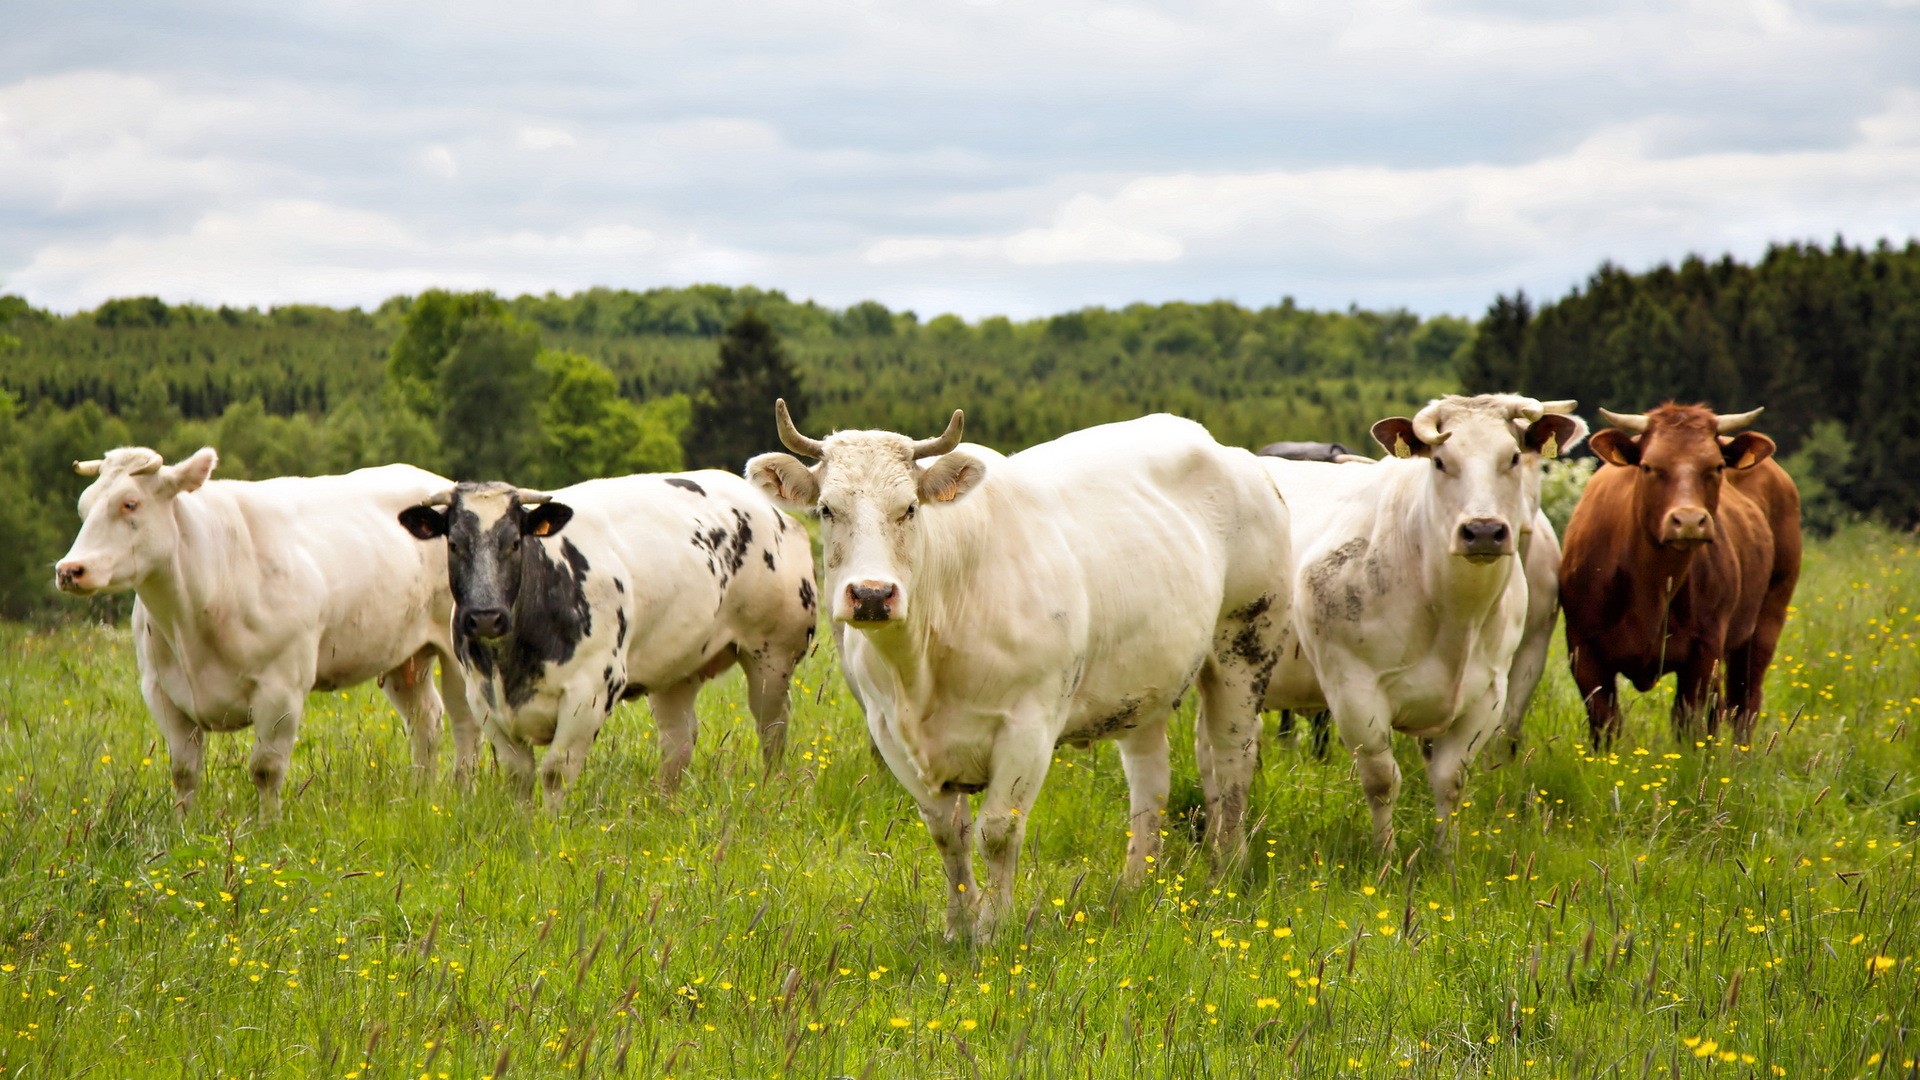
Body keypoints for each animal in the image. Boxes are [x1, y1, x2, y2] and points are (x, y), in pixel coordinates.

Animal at [54, 447, 479, 820]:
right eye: (83, 507)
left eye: (130, 503)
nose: (69, 569)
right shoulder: (161, 690)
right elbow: (183, 772)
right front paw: (181, 829)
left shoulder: (281, 688)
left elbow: (265, 769)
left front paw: (268, 829)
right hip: (402, 655)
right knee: (426, 719)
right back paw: (421, 795)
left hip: (458, 651)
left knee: (465, 722)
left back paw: (462, 794)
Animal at [396, 472, 816, 806]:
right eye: (453, 544)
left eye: (514, 542)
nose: (485, 616)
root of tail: (771, 511)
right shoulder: (483, 699)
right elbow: (520, 776)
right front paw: (524, 828)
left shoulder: (591, 692)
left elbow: (555, 772)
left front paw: (548, 836)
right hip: (676, 670)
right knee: (678, 742)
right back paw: (662, 807)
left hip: (772, 657)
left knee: (772, 730)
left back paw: (771, 792)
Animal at [746, 403, 1293, 940]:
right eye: (826, 509)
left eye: (909, 508)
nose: (873, 595)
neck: (921, 667)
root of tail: (1229, 452)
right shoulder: (890, 733)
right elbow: (947, 833)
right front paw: (958, 929)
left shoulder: (1029, 726)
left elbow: (996, 832)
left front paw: (993, 930)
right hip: (1147, 682)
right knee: (1151, 780)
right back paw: (1135, 884)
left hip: (1244, 645)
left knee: (1231, 760)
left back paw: (1228, 872)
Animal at [1258, 395, 1582, 851]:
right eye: (1440, 461)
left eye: (1515, 457)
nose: (1484, 530)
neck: (1452, 613)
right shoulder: (1353, 691)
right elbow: (1381, 781)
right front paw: (1386, 856)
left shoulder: (1489, 693)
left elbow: (1450, 781)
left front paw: (1447, 857)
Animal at [1559, 404, 1801, 748]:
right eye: (1648, 466)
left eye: (1716, 466)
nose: (1688, 520)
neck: (1652, 585)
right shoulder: (1585, 652)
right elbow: (1605, 725)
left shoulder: (1703, 651)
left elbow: (1688, 724)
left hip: (1767, 620)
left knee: (1744, 702)